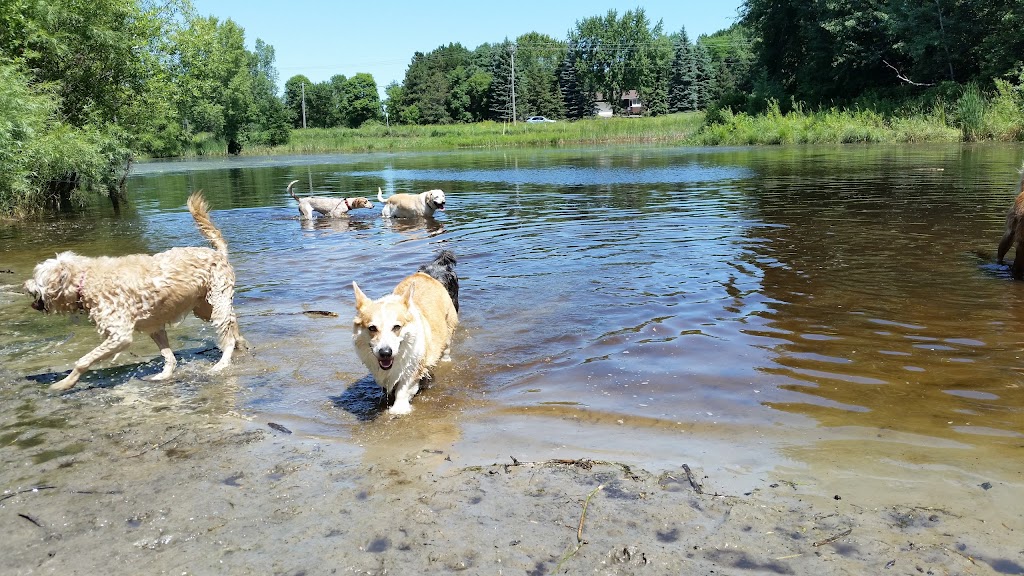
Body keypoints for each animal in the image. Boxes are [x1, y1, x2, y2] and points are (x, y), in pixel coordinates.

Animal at [24, 190, 247, 387]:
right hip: (204, 307)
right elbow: (169, 357)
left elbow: (84, 361)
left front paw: (64, 383)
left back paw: (221, 364)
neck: (85, 282)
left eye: (37, 276)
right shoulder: (153, 327)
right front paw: (163, 375)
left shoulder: (119, 335)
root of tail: (218, 253)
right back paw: (240, 343)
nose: (25, 285)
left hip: (216, 302)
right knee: (231, 320)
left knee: (226, 336)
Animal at [356, 250, 460, 412]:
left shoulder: (413, 367)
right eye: (372, 328)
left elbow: (404, 388)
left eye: (396, 327)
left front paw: (398, 409)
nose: (385, 353)